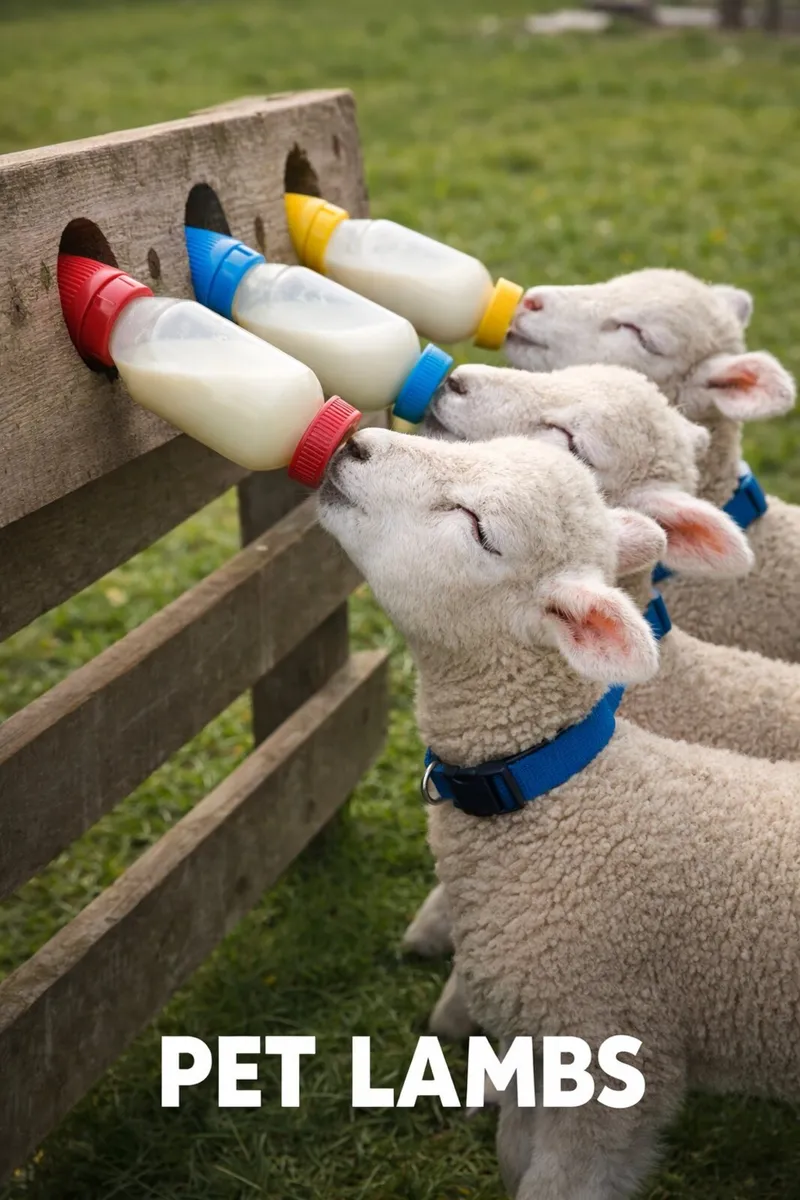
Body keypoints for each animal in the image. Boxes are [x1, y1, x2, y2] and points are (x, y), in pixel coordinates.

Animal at [318, 428, 800, 1200]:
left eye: (479, 529)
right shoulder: (540, 1056)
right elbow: (514, 1154)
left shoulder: (610, 1059)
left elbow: (556, 1180)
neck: (562, 804)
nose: (357, 443)